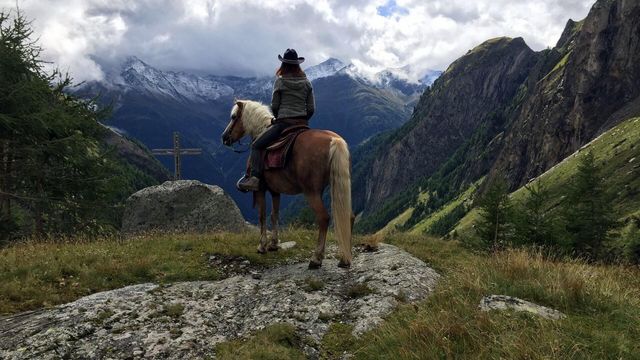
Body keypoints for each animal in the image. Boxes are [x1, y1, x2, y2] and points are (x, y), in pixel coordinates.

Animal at [221, 100, 356, 268]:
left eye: (234, 117)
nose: (224, 137)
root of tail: (334, 140)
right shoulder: (275, 191)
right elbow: (274, 215)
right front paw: (273, 244)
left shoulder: (260, 189)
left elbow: (262, 216)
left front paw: (262, 246)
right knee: (349, 216)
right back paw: (345, 258)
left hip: (311, 192)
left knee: (324, 218)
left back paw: (316, 258)